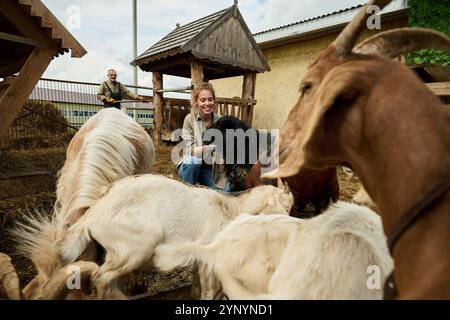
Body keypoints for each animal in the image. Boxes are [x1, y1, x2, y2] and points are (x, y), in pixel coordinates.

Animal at [56, 174, 294, 298]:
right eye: (286, 206)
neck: (231, 209)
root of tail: (93, 214)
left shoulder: (199, 259)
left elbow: (198, 286)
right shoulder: (209, 256)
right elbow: (210, 289)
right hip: (137, 245)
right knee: (101, 277)